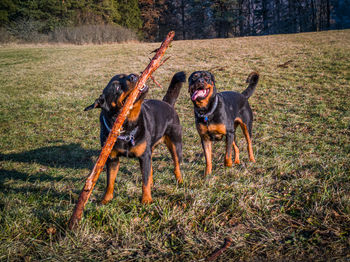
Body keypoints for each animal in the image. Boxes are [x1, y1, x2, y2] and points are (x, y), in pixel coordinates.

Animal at [85, 72, 186, 205]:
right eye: (116, 87)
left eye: (125, 74)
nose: (132, 76)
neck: (127, 127)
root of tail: (167, 103)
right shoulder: (112, 158)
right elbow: (110, 181)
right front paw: (106, 199)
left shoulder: (144, 156)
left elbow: (144, 181)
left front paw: (146, 199)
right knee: (151, 169)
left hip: (175, 143)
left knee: (176, 165)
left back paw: (180, 180)